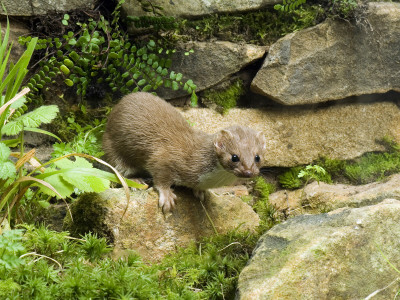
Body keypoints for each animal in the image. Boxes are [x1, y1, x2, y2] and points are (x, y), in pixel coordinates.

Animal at [103, 92, 266, 212]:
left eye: (257, 157)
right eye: (234, 157)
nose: (248, 172)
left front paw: (200, 192)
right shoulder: (164, 156)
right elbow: (160, 177)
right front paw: (167, 197)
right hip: (114, 149)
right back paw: (136, 180)